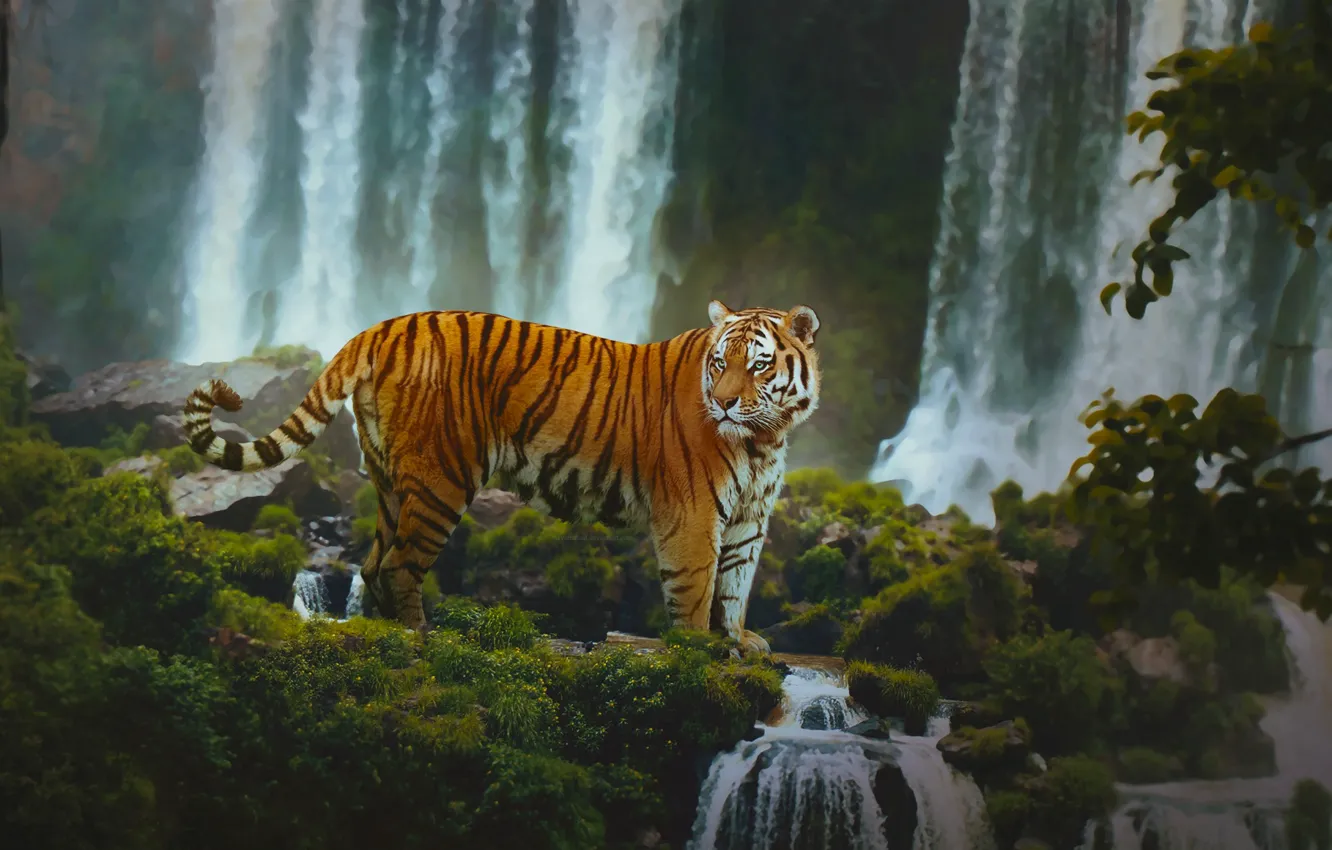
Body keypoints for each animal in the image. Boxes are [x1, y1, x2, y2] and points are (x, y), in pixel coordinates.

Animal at [181, 300, 821, 654]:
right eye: (718, 362)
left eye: (758, 364)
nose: (724, 403)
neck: (765, 437)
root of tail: (381, 327)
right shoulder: (692, 515)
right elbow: (696, 587)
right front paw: (696, 650)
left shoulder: (748, 520)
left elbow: (735, 585)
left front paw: (738, 643)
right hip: (442, 479)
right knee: (397, 566)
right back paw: (421, 636)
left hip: (392, 482)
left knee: (371, 563)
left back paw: (386, 632)